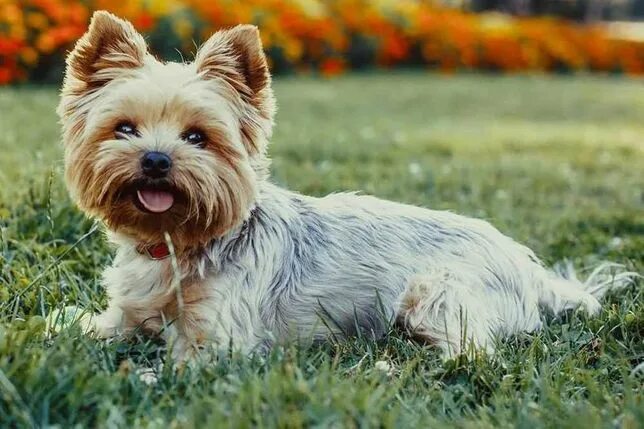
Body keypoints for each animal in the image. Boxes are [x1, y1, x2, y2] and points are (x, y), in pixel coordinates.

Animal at [57, 11, 636, 362]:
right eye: (124, 129)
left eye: (197, 137)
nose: (156, 160)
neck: (175, 242)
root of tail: (532, 270)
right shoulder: (124, 313)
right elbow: (86, 326)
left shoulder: (217, 337)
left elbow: (176, 360)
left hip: (435, 293)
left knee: (472, 351)